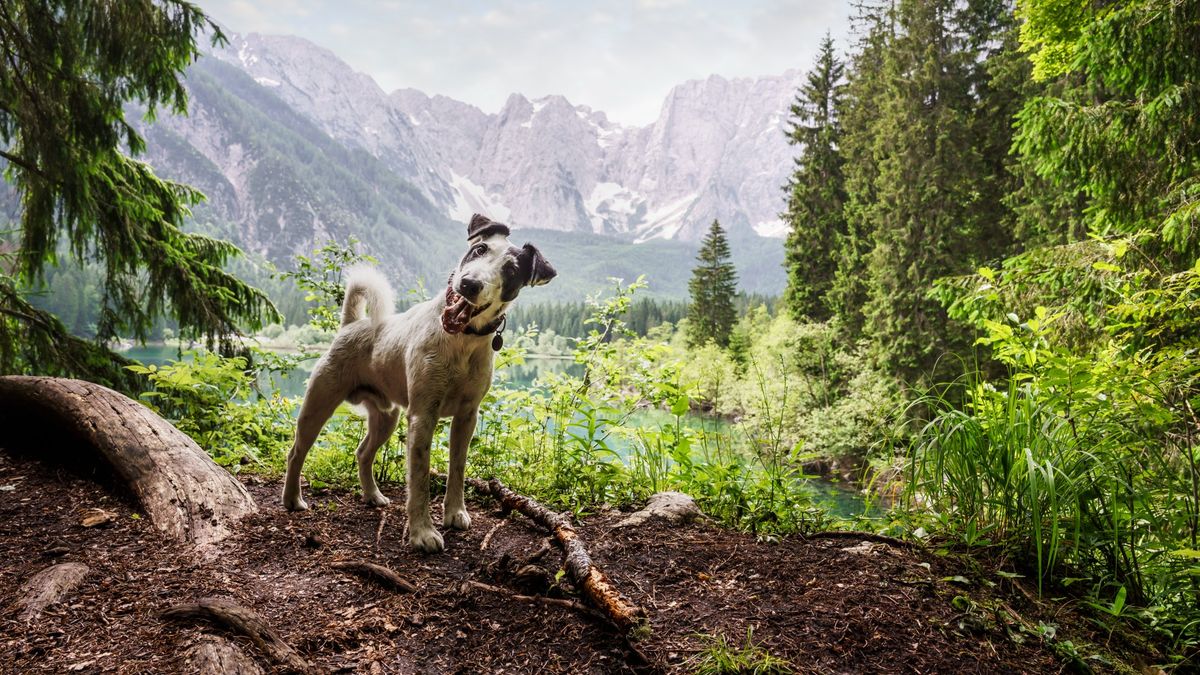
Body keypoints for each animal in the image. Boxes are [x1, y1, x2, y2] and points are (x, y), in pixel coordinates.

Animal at [283, 212, 554, 550]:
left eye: (511, 270)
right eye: (479, 249)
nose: (469, 284)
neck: (462, 342)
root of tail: (350, 325)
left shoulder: (467, 417)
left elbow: (457, 468)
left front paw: (455, 513)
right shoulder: (423, 416)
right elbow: (420, 479)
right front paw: (422, 532)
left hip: (386, 417)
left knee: (362, 453)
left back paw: (373, 496)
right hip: (318, 403)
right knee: (296, 452)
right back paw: (292, 499)